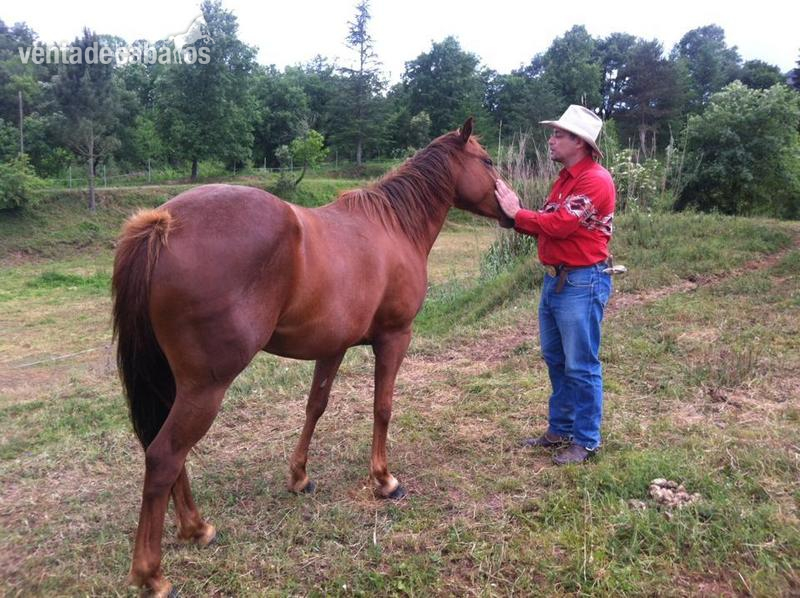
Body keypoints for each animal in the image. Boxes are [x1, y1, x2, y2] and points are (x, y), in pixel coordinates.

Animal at [112, 118, 512, 596]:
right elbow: (382, 407)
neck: (393, 228)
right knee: (164, 457)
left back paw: (196, 528)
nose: (514, 210)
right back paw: (152, 573)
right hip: (205, 387)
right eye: (486, 161)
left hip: (177, 385)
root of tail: (163, 223)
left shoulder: (332, 347)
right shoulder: (395, 338)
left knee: (169, 453)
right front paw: (384, 480)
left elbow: (315, 406)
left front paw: (299, 477)